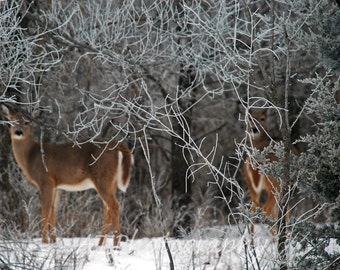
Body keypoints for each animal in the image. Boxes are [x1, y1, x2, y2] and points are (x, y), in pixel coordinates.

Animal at [0, 104, 133, 247]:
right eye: (12, 121)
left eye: (27, 122)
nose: (18, 132)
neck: (31, 156)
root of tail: (117, 146)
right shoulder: (57, 186)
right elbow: (53, 211)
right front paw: (53, 241)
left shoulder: (46, 180)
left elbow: (45, 211)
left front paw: (44, 242)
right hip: (110, 181)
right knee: (108, 209)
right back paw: (100, 244)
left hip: (102, 178)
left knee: (115, 206)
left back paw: (115, 244)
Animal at [244, 108, 298, 244]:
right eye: (250, 118)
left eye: (262, 118)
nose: (254, 129)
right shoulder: (289, 186)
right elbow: (286, 212)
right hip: (275, 184)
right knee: (267, 210)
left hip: (253, 189)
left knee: (252, 211)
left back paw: (252, 244)